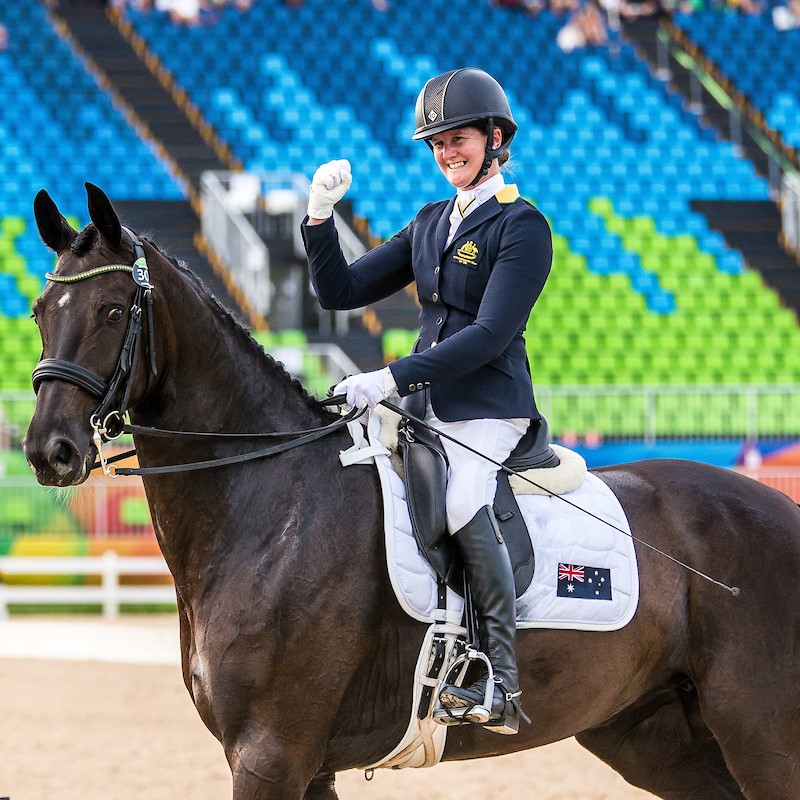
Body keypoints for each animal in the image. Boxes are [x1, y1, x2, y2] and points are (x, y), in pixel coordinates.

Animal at [21, 184, 800, 796]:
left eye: (114, 310)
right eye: (38, 311)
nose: (47, 451)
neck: (270, 508)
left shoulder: (271, 755)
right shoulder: (305, 766)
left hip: (763, 737)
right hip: (657, 737)